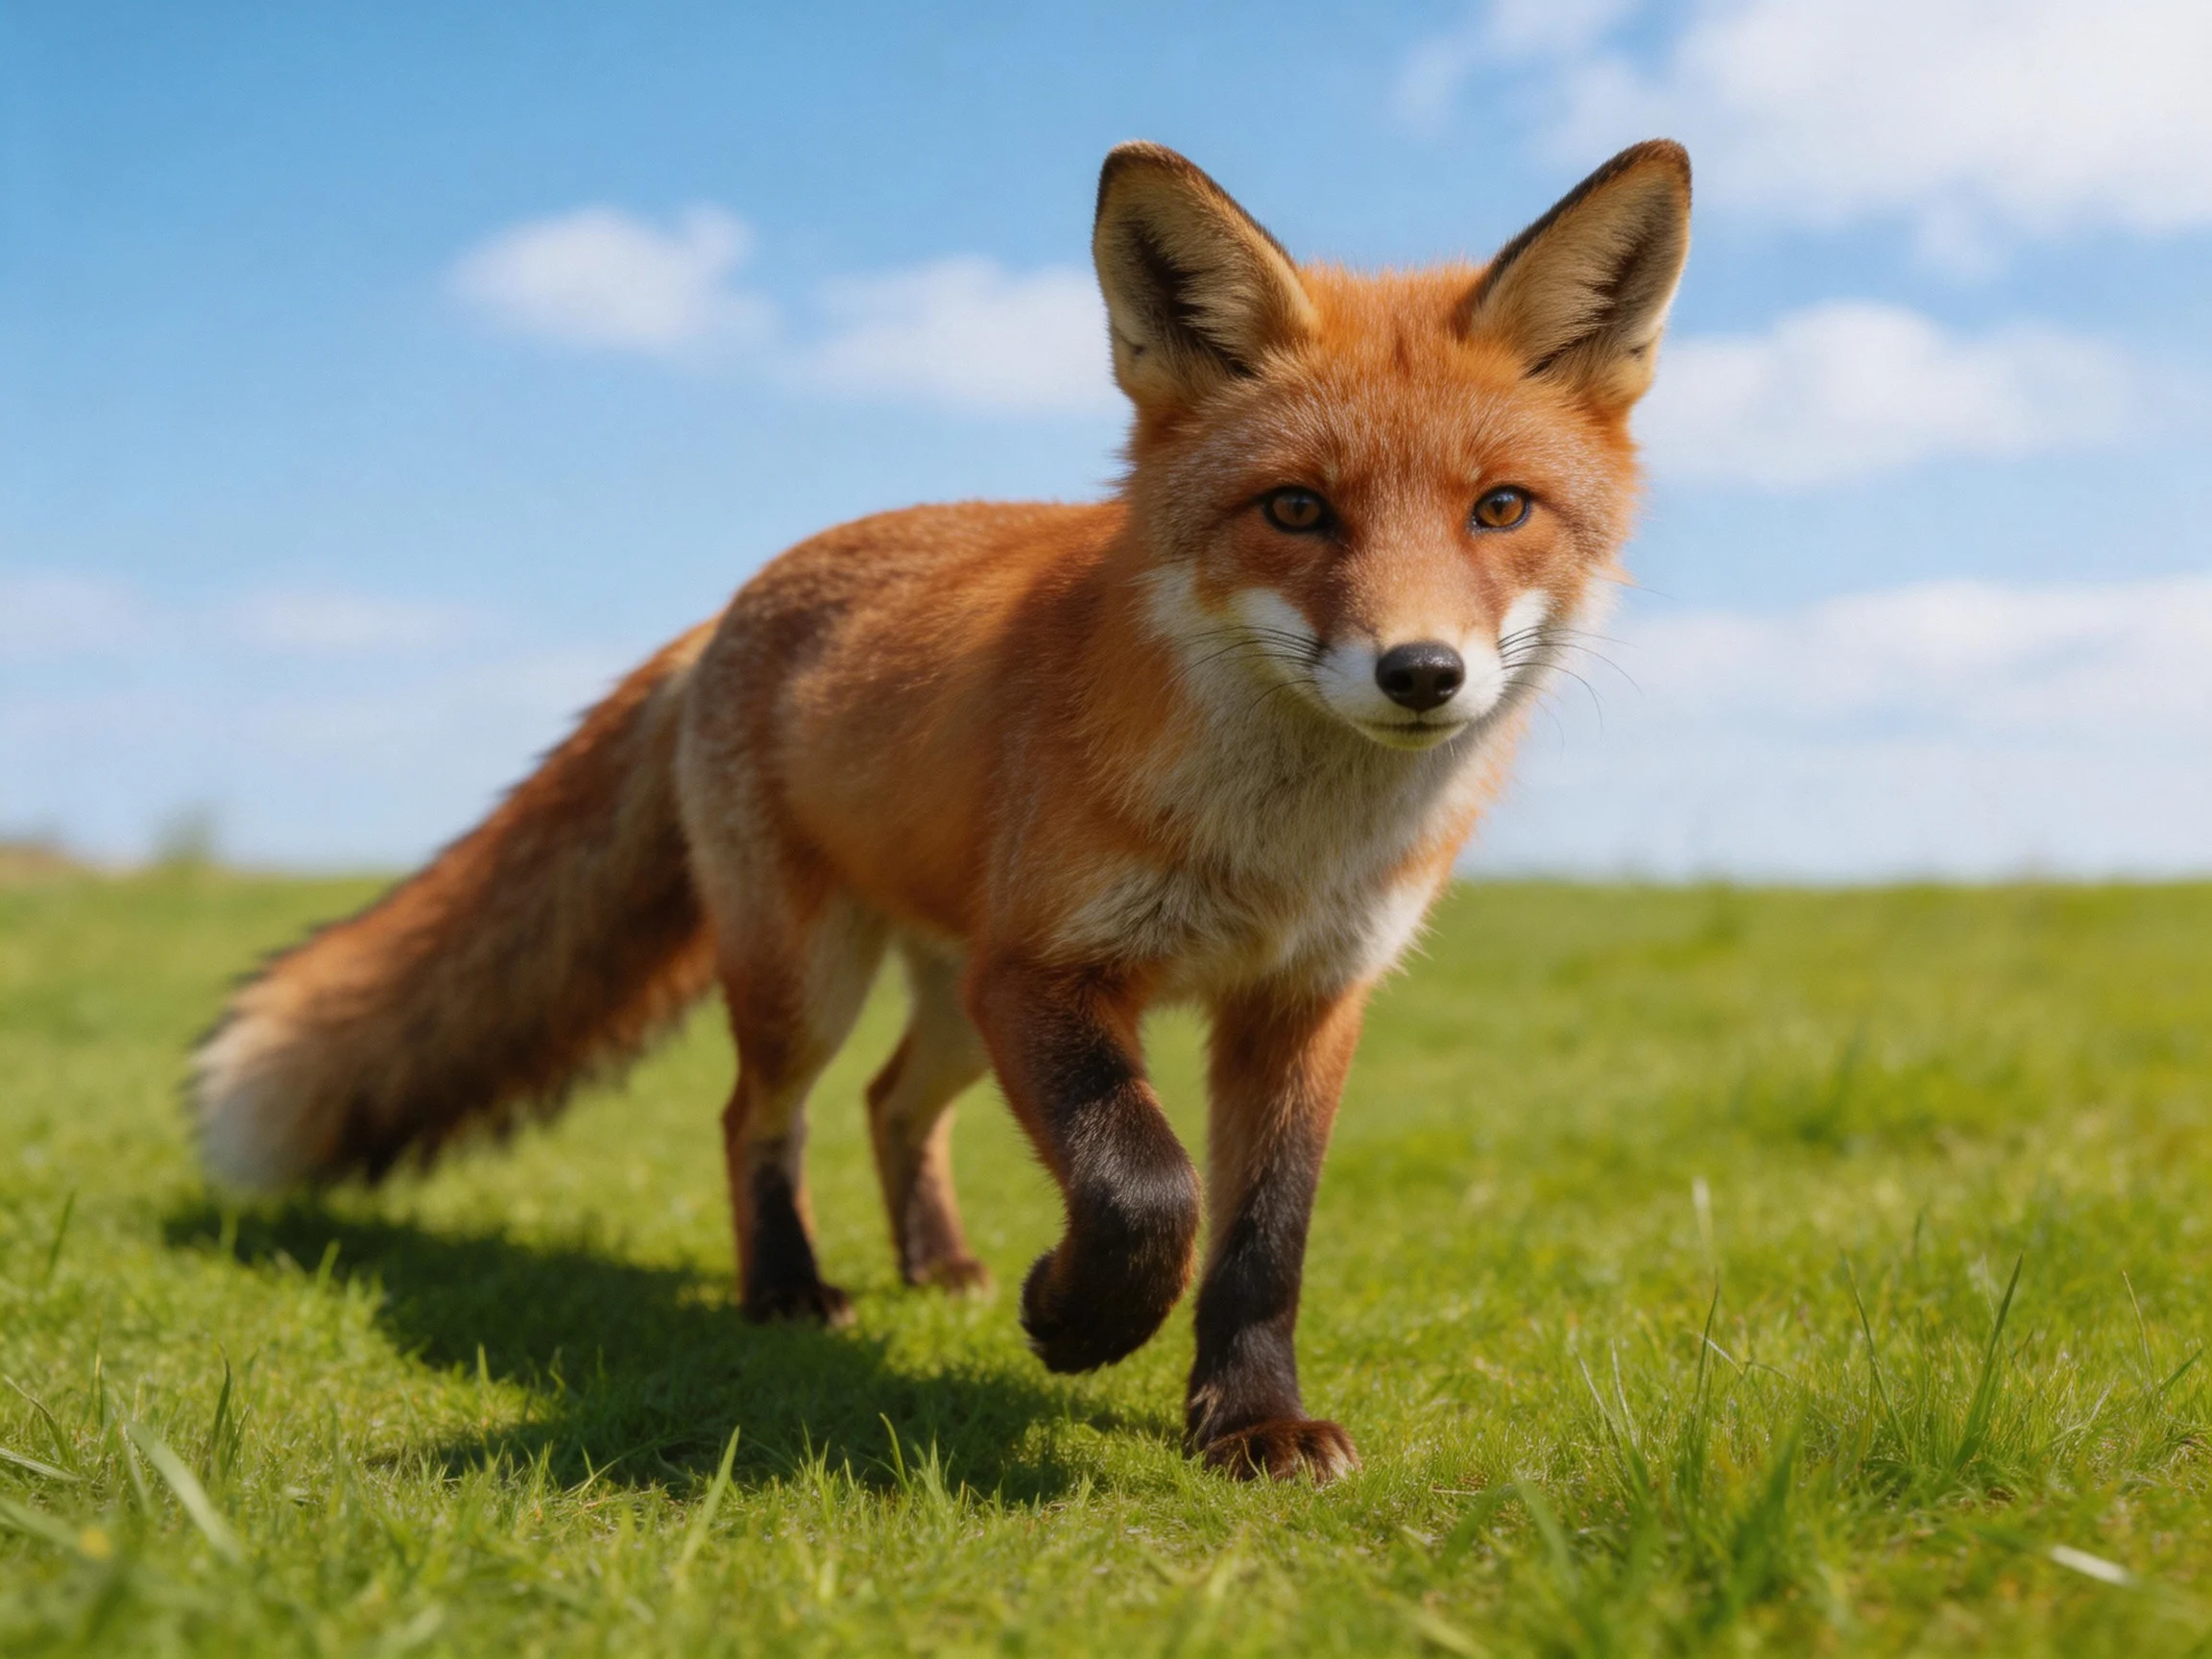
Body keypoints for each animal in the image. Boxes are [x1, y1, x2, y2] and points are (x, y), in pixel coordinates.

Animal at [192, 139, 1691, 1481]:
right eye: (1296, 511)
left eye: (1502, 508)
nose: (1423, 672)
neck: (1276, 848)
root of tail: (734, 604)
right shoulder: (1046, 971)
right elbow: (1144, 1189)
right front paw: (1076, 1320)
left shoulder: (1305, 1001)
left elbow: (1265, 1235)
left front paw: (1247, 1424)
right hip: (818, 978)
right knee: (761, 1117)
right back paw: (791, 1291)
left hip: (952, 1004)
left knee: (891, 1103)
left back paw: (941, 1263)